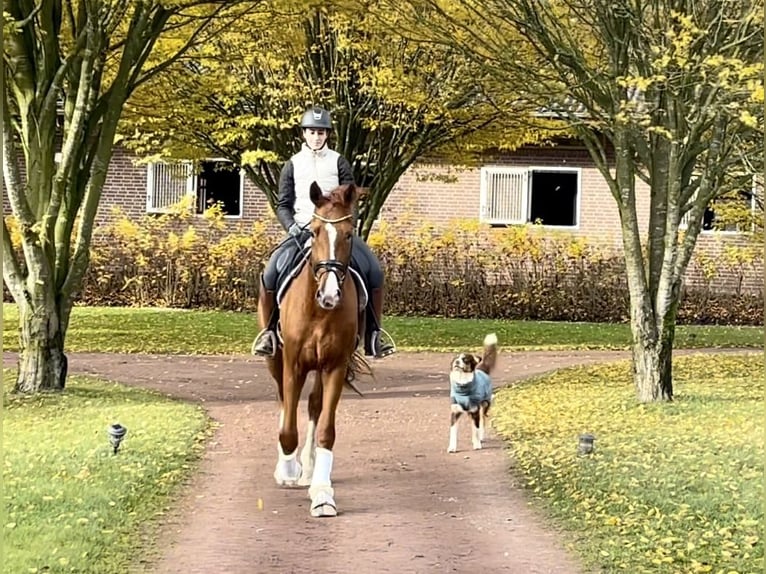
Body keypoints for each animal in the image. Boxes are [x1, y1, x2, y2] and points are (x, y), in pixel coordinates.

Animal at [262, 182, 368, 520]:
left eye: (348, 233)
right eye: (317, 231)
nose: (330, 294)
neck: (320, 310)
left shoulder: (334, 366)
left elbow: (325, 430)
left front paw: (322, 493)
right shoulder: (292, 364)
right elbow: (287, 428)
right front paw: (287, 470)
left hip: (320, 368)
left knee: (313, 406)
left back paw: (308, 469)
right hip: (275, 360)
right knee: (285, 403)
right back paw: (290, 468)